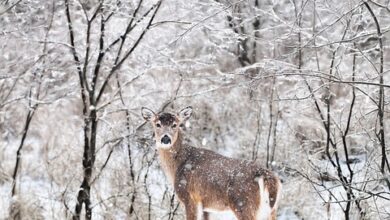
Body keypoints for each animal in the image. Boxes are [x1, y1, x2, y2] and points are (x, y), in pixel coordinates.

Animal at [142, 105, 282, 219]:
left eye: (175, 125)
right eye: (157, 124)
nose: (166, 139)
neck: (177, 166)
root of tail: (265, 175)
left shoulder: (189, 197)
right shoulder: (206, 206)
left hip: (243, 203)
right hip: (271, 209)